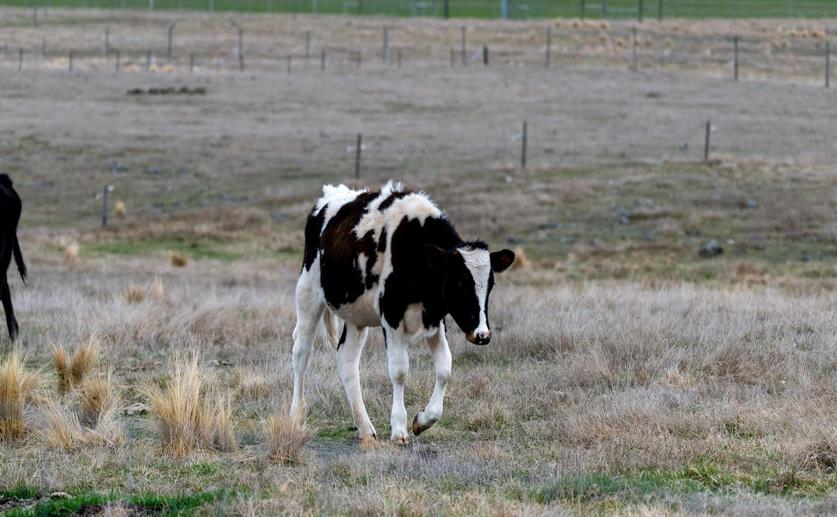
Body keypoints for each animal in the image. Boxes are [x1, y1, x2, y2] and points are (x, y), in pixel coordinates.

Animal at [290, 181, 515, 445]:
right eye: (460, 284)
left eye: (491, 285)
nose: (482, 334)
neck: (415, 253)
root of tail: (330, 194)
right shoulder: (392, 316)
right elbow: (399, 371)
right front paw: (399, 428)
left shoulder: (436, 319)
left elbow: (445, 368)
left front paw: (423, 420)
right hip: (308, 292)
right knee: (301, 352)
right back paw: (296, 417)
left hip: (356, 316)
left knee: (347, 360)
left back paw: (365, 427)